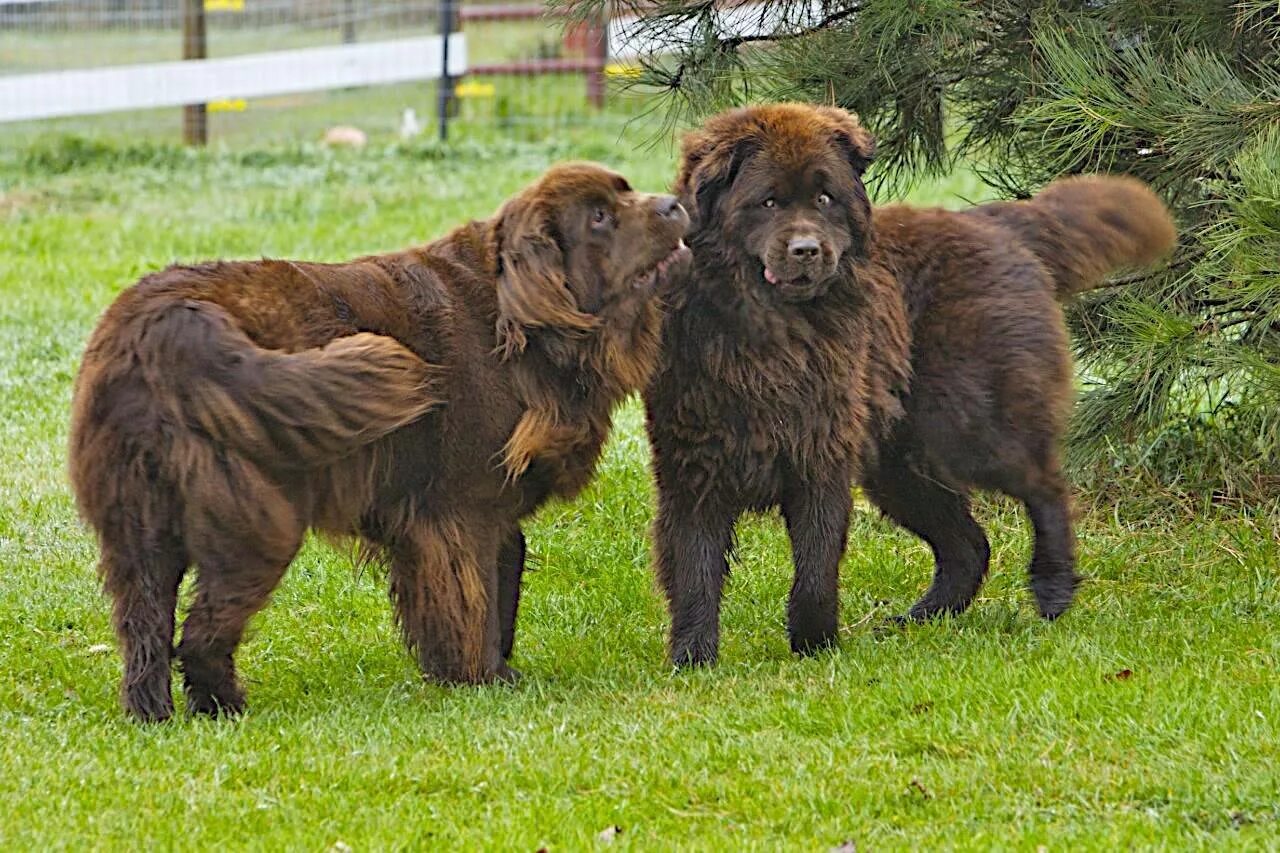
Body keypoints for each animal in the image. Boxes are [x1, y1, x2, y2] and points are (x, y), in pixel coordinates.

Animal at [70, 161, 691, 717]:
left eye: (626, 191)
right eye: (599, 217)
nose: (673, 205)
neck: (517, 323)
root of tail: (169, 323)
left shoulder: (481, 514)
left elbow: (505, 577)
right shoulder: (460, 512)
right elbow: (476, 599)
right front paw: (480, 678)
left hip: (138, 526)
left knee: (145, 627)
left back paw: (153, 713)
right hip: (256, 523)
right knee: (202, 632)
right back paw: (224, 706)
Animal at [645, 104, 1172, 666]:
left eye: (824, 198)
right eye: (767, 202)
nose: (807, 250)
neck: (774, 336)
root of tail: (996, 221)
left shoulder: (821, 460)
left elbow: (815, 568)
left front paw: (815, 646)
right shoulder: (693, 470)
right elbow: (695, 573)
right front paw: (692, 660)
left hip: (969, 427)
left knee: (1044, 485)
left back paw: (1052, 587)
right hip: (900, 463)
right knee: (968, 544)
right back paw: (920, 619)